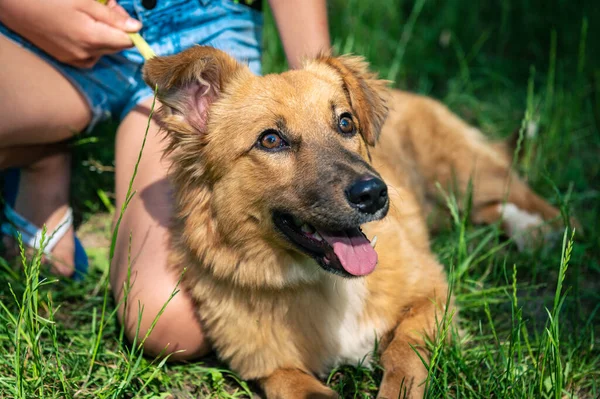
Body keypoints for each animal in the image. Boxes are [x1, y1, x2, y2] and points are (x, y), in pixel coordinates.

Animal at [142, 46, 564, 396]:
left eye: (345, 123)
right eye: (270, 140)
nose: (374, 193)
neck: (321, 282)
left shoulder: (432, 294)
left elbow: (402, 353)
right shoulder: (268, 366)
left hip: (465, 172)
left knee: (524, 198)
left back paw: (540, 232)